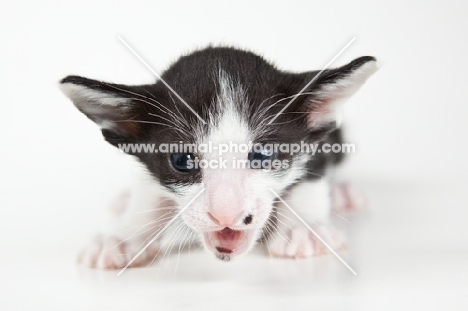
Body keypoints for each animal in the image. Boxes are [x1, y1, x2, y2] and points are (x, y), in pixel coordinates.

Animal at [60, 47, 378, 270]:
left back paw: (343, 193)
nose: (226, 215)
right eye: (182, 161)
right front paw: (123, 237)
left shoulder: (320, 140)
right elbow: (147, 190)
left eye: (263, 155)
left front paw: (305, 229)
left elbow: (312, 173)